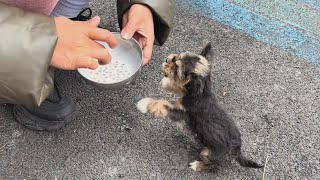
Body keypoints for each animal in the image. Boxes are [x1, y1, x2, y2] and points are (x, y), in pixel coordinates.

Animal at [136, 42, 264, 172]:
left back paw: (198, 165)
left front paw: (144, 104)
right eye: (177, 57)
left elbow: (162, 104)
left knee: (214, 165)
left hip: (209, 153)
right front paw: (166, 82)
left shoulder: (181, 112)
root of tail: (238, 148)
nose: (167, 59)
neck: (201, 93)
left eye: (177, 68)